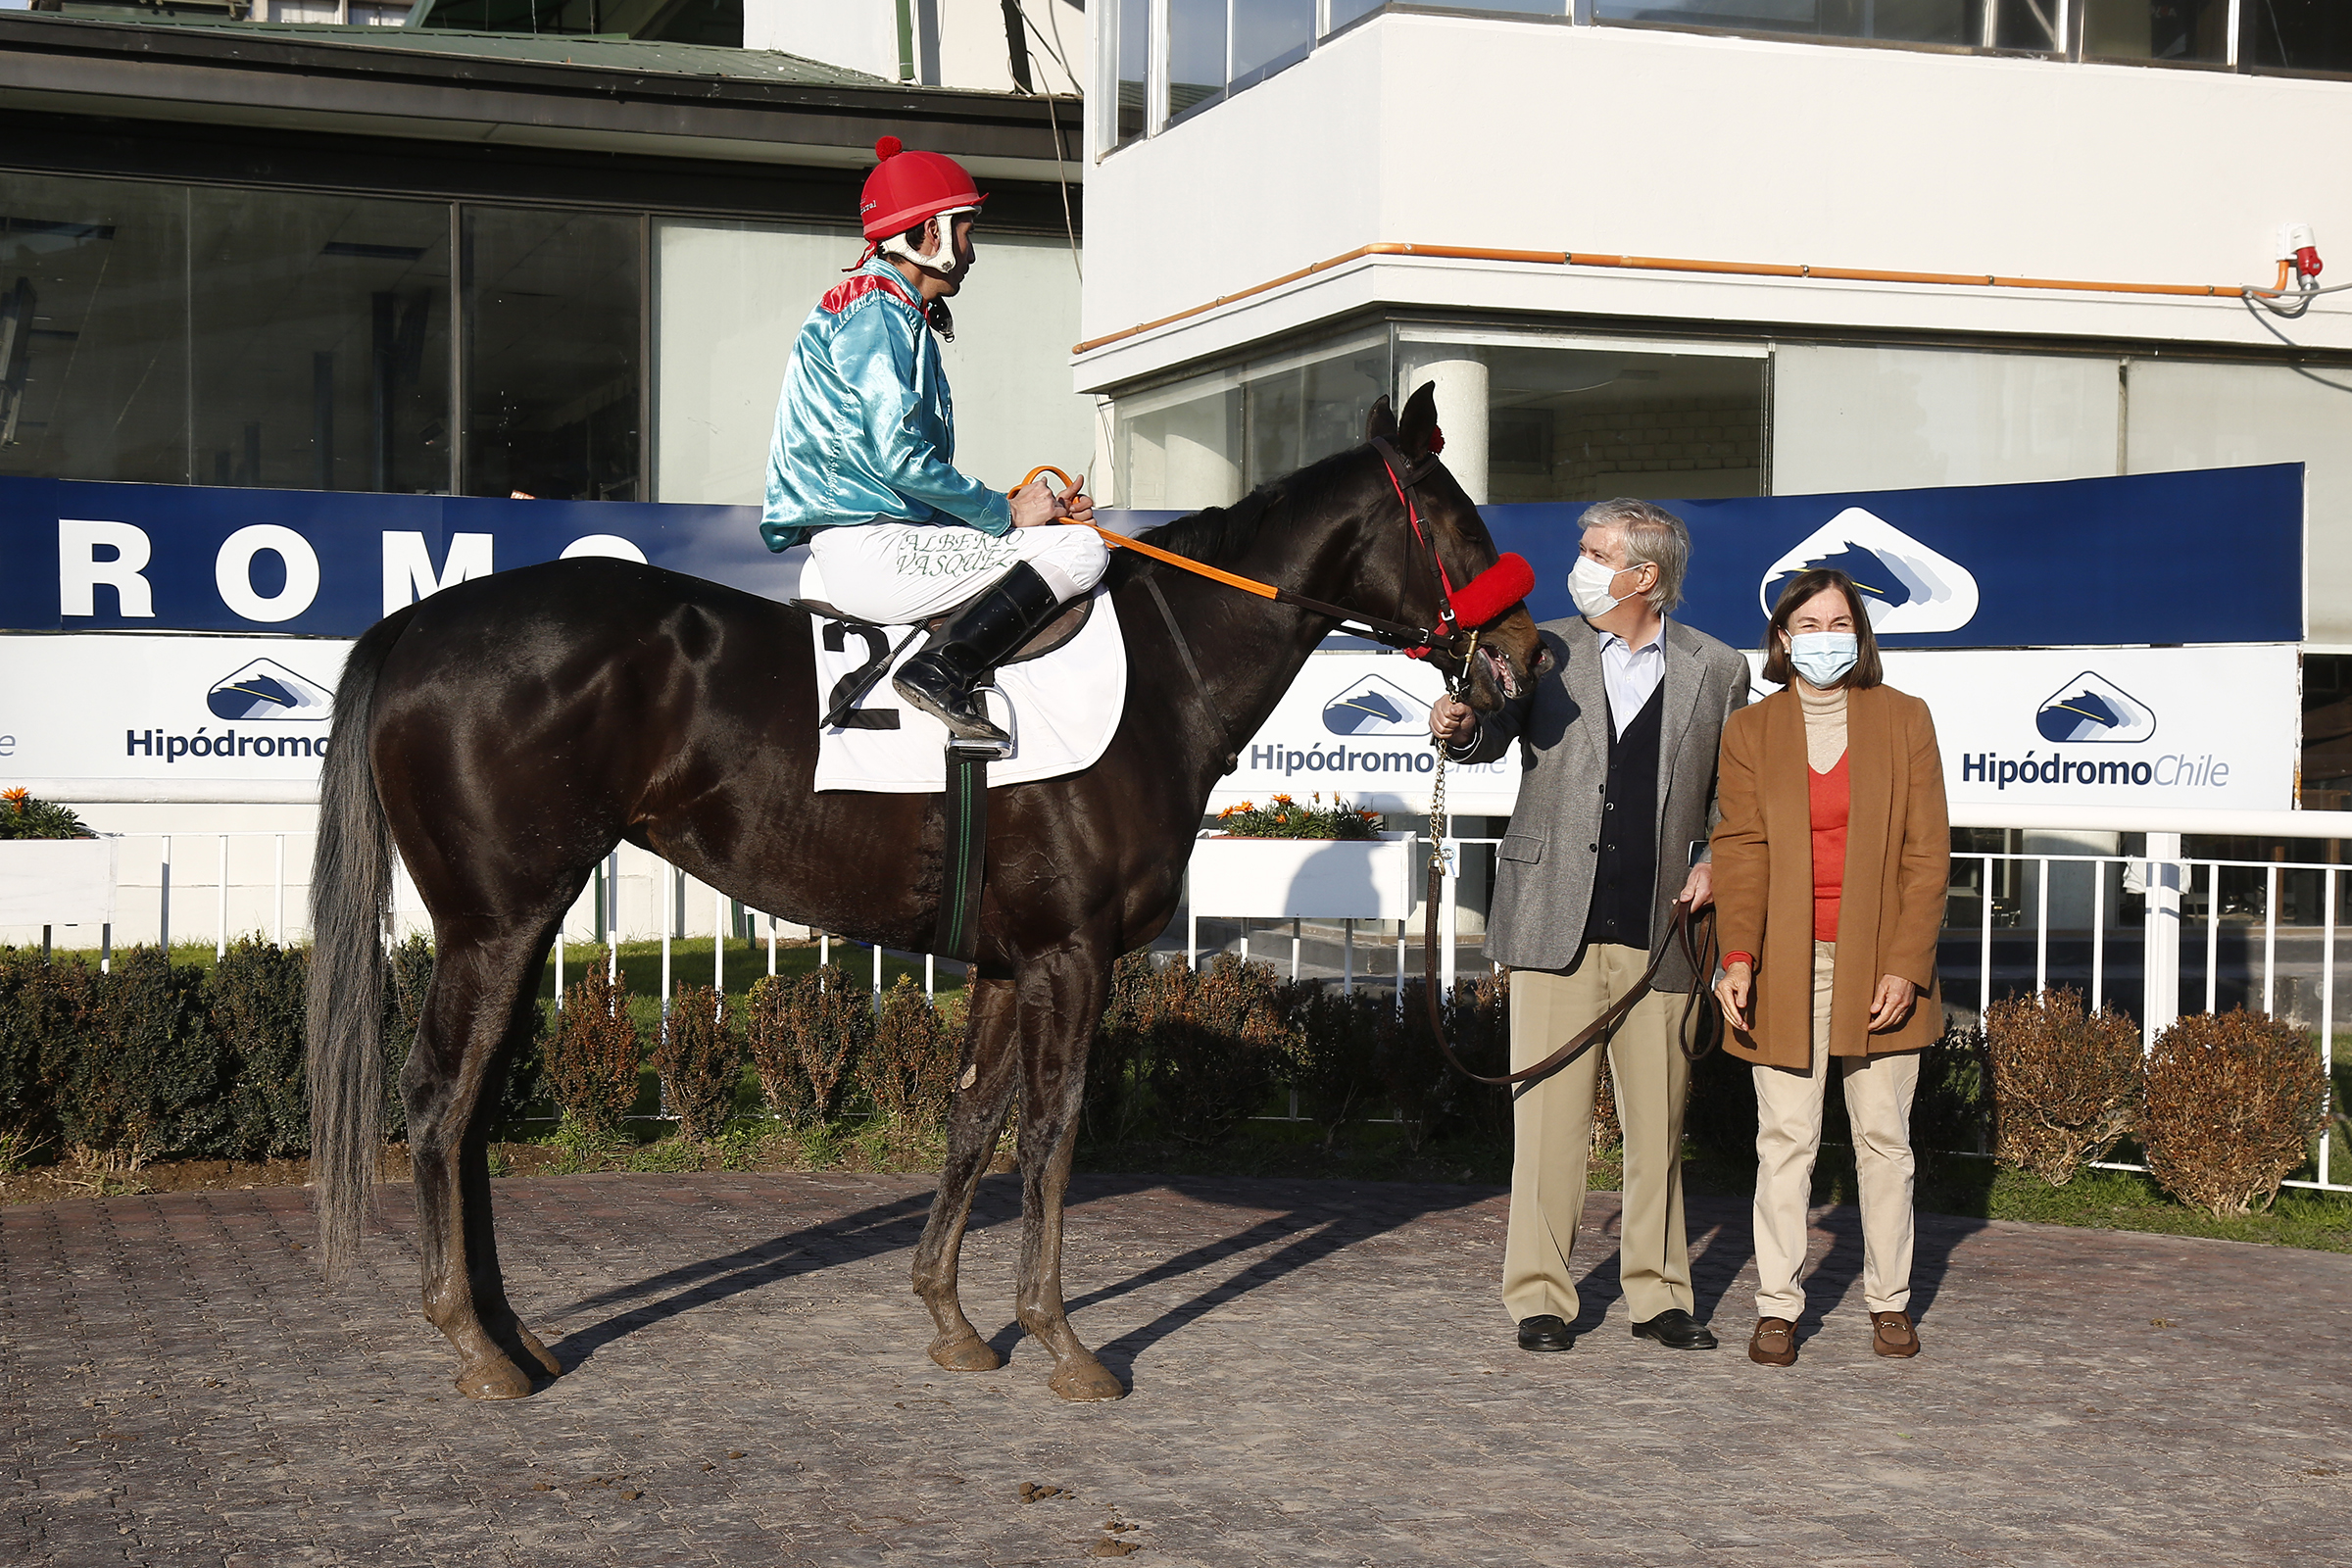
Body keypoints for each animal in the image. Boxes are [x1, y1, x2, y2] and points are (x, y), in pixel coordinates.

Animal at [305, 386, 1546, 1403]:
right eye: (1458, 521)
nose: (1523, 661)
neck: (1164, 672)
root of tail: (417, 619)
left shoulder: (1007, 957)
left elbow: (973, 1120)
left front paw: (954, 1319)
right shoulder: (1071, 952)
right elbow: (1052, 1126)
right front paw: (1059, 1339)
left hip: (521, 919)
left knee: (470, 1110)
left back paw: (514, 1333)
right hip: (496, 918)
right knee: (437, 1098)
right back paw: (470, 1340)